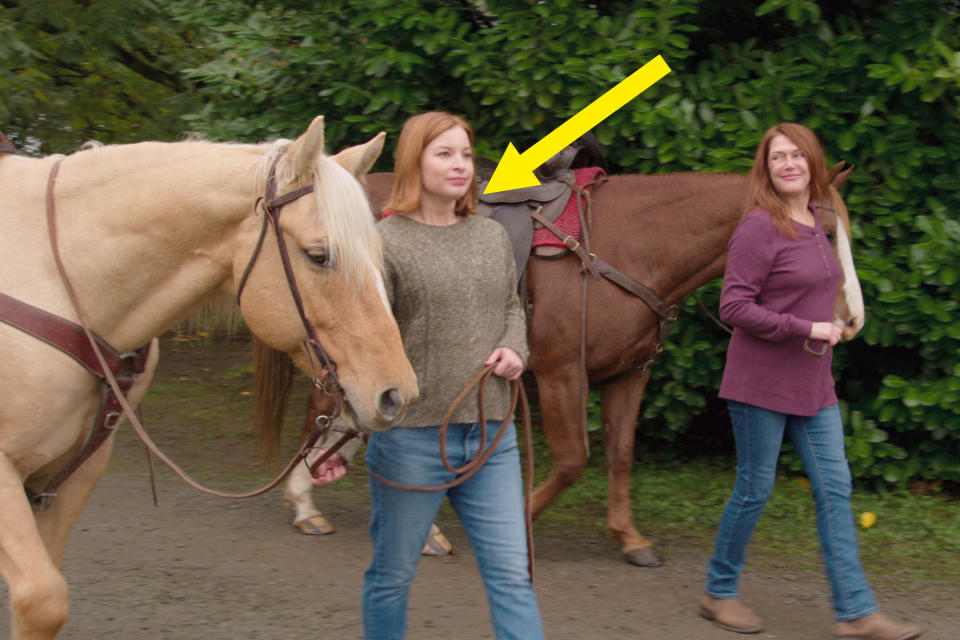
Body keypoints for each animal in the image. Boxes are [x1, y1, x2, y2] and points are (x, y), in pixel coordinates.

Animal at [280, 164, 864, 564]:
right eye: (824, 232)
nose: (853, 320)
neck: (628, 248)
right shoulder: (562, 374)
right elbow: (571, 461)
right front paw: (517, 521)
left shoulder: (629, 375)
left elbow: (620, 454)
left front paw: (628, 536)